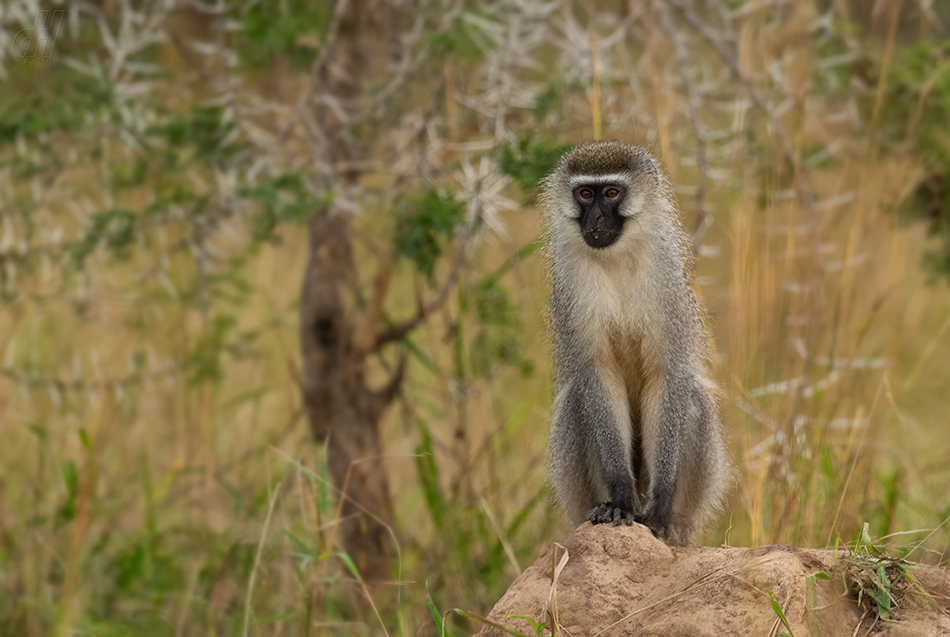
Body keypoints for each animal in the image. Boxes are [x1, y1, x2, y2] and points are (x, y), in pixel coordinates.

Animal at [544, 142, 728, 544]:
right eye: (585, 194)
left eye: (612, 193)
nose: (595, 218)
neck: (617, 258)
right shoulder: (571, 285)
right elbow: (598, 375)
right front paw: (620, 498)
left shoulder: (666, 281)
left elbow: (668, 374)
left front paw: (662, 505)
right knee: (577, 402)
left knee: (692, 397)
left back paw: (676, 524)